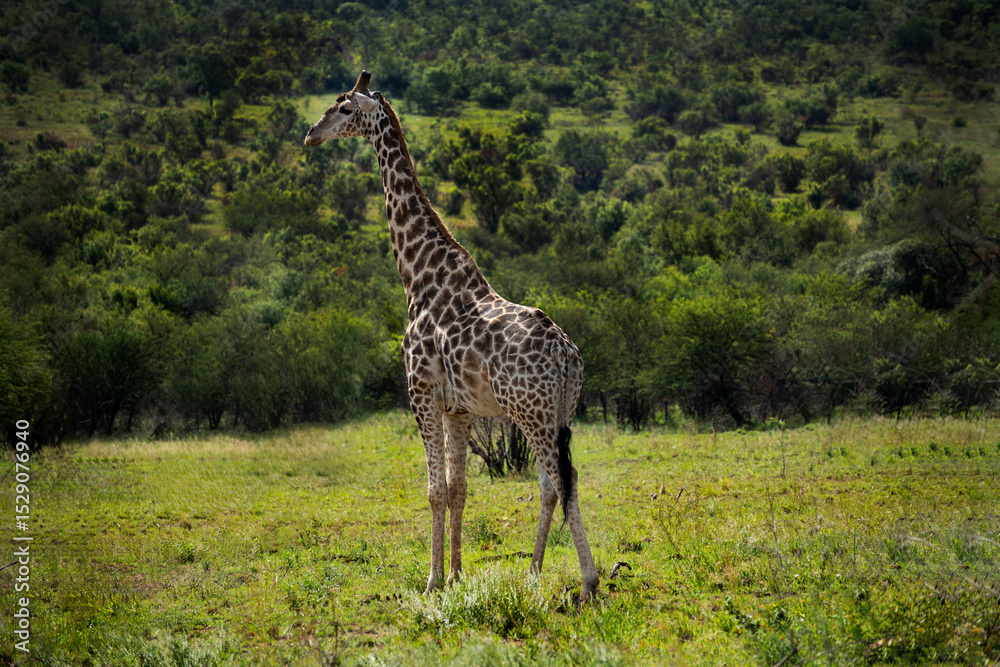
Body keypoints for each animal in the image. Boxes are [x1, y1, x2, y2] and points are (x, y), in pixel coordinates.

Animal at [305, 71, 599, 600]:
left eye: (344, 108)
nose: (311, 135)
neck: (417, 275)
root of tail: (568, 357)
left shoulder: (420, 393)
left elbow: (435, 489)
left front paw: (432, 580)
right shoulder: (458, 408)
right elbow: (460, 488)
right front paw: (458, 575)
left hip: (531, 413)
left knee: (556, 483)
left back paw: (564, 578)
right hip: (563, 413)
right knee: (562, 481)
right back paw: (558, 574)